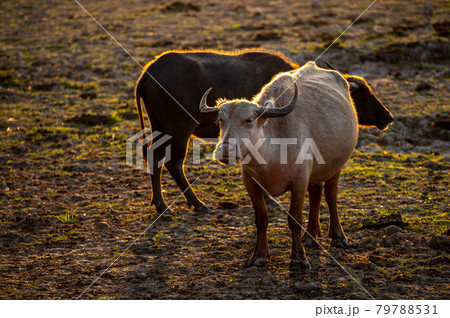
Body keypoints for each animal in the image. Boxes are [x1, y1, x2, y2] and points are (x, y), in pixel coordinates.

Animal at [134, 49, 394, 214]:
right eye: (364, 94)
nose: (388, 117)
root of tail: (150, 70)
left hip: (159, 127)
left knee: (154, 156)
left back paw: (160, 204)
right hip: (178, 130)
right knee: (174, 162)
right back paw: (196, 203)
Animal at [200, 61, 358, 268]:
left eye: (249, 120)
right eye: (221, 119)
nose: (226, 151)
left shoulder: (299, 181)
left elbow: (294, 218)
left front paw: (299, 258)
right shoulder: (250, 182)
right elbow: (262, 218)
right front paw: (259, 255)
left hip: (335, 166)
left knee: (331, 195)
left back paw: (338, 236)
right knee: (316, 194)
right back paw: (311, 235)